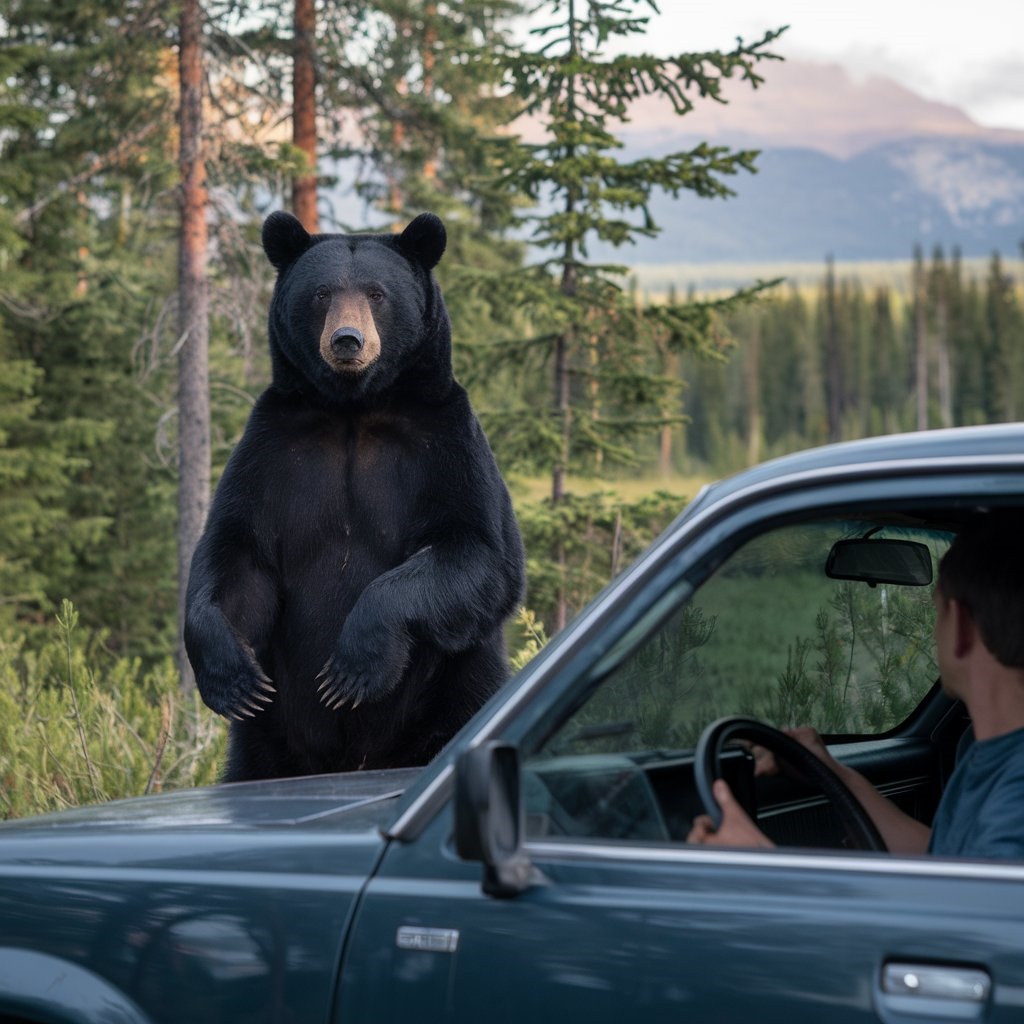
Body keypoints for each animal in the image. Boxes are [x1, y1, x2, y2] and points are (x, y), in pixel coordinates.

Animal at [182, 209, 528, 782]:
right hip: (272, 735)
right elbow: (238, 554)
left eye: (376, 293)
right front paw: (233, 679)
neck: (354, 407)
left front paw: (351, 670)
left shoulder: (444, 445)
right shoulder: (273, 451)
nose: (347, 341)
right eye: (322, 293)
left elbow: (476, 554)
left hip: (457, 683)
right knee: (251, 764)